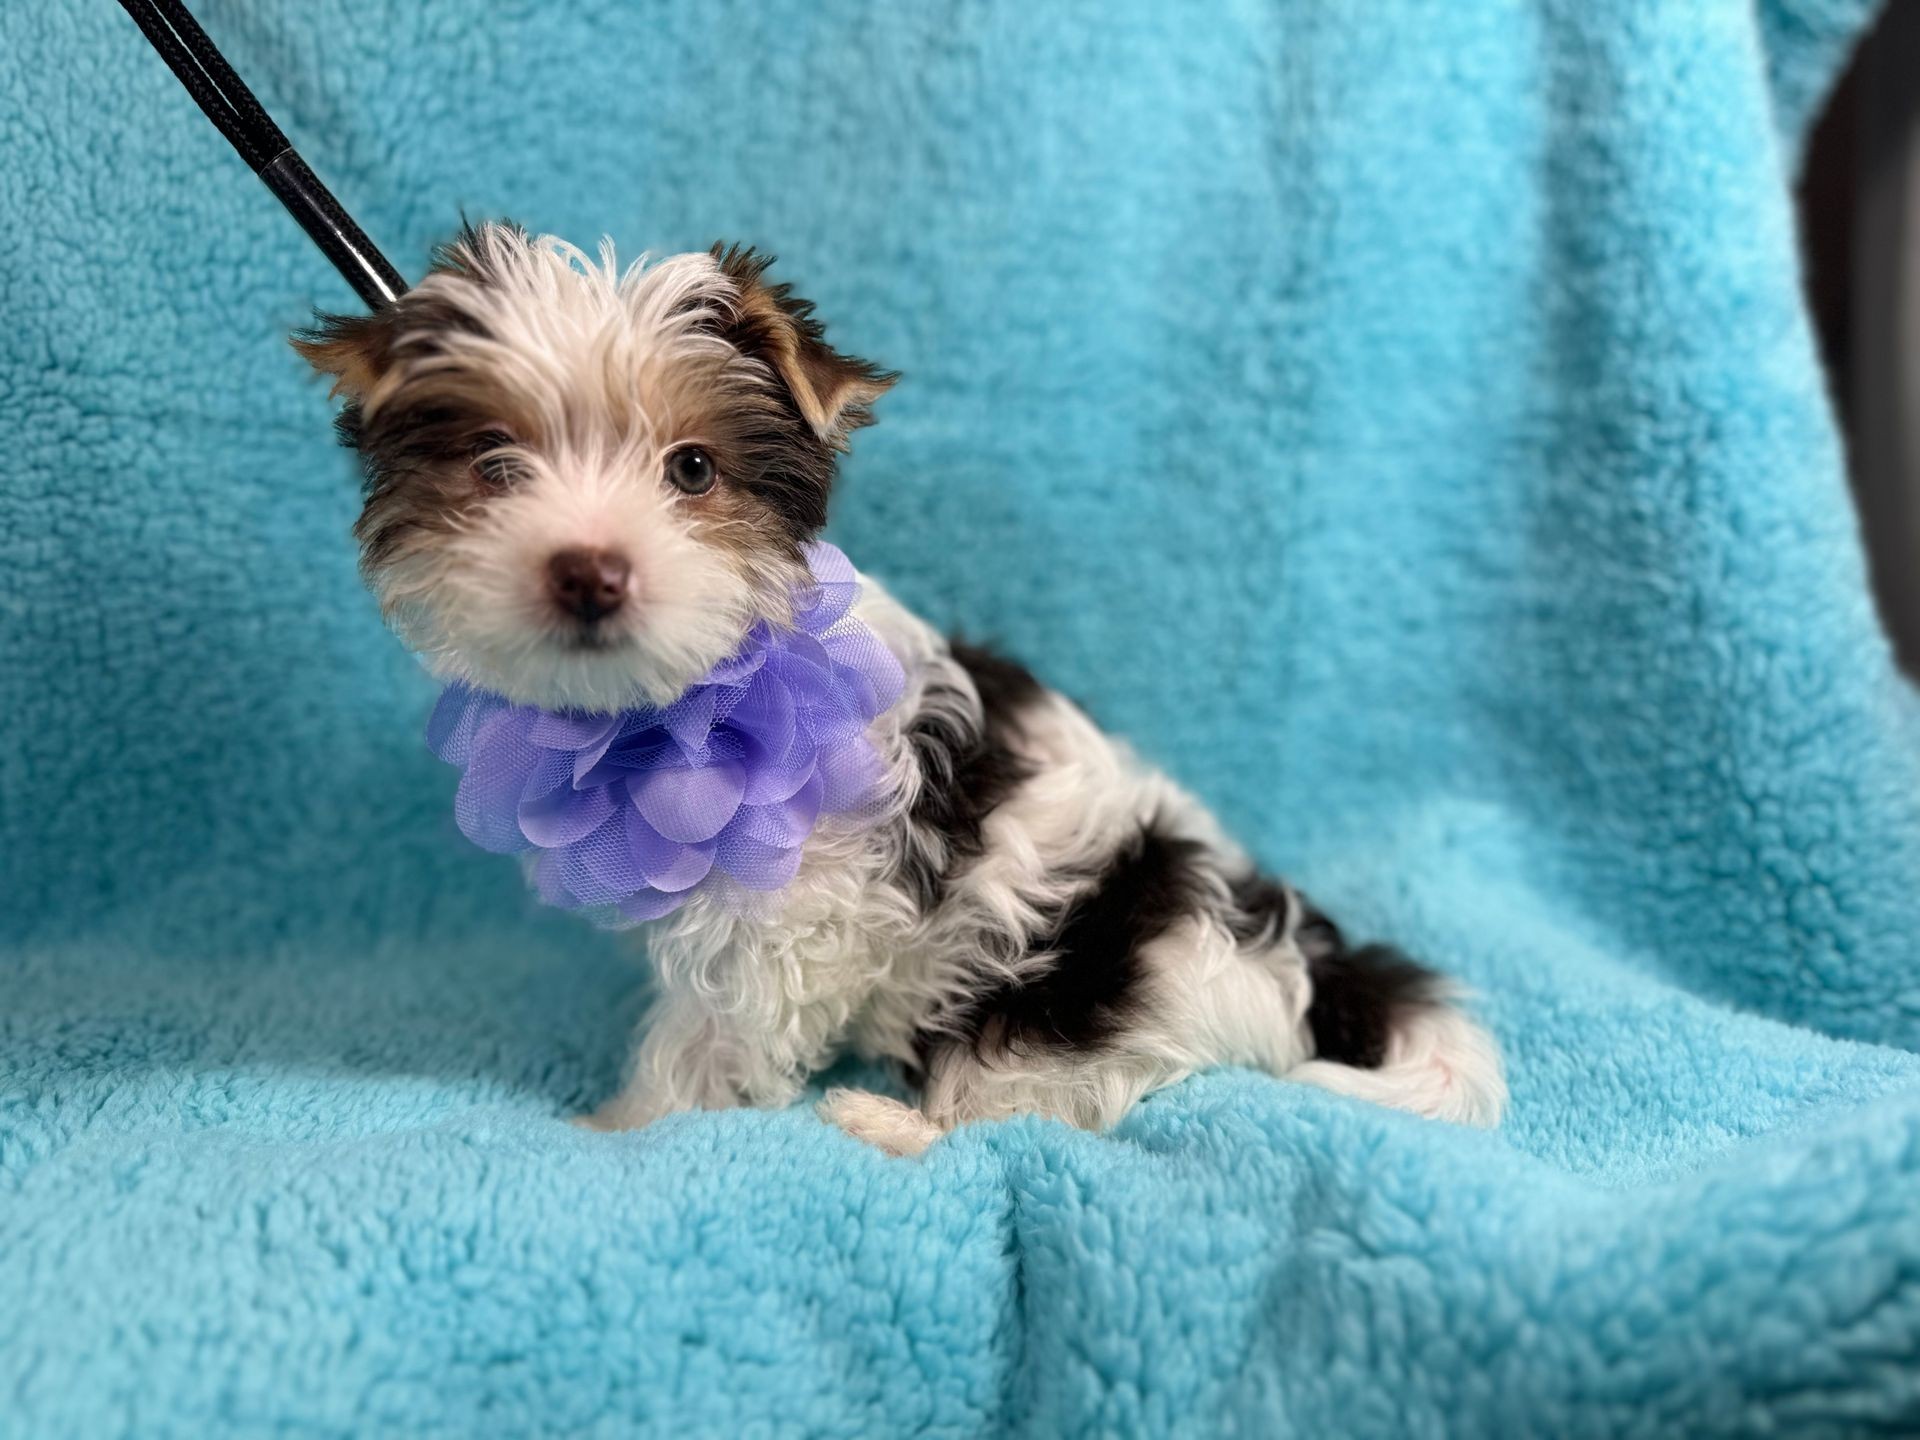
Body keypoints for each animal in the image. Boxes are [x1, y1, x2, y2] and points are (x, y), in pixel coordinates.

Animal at [299, 219, 1505, 1159]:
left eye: (693, 469)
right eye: (493, 462)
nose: (588, 571)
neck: (695, 702)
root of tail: (1306, 951)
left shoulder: (795, 911)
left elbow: (713, 1032)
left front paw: (624, 1129)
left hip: (1096, 981)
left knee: (1041, 1105)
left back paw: (890, 1125)